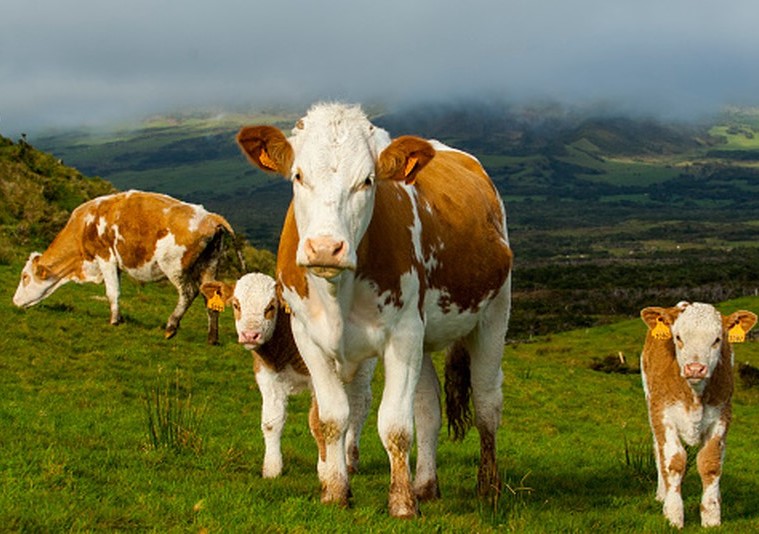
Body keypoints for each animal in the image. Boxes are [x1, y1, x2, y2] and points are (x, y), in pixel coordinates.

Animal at [200, 274, 376, 480]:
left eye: (270, 307)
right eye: (236, 305)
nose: (250, 335)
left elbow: (318, 422)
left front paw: (325, 470)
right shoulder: (267, 376)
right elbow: (271, 421)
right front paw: (272, 469)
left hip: (364, 364)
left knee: (359, 406)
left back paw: (350, 460)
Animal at [235, 103, 512, 520]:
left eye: (367, 180)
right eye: (298, 176)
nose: (325, 248)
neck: (338, 293)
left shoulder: (403, 334)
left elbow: (395, 424)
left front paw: (401, 503)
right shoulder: (307, 337)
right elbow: (332, 419)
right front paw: (336, 492)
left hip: (493, 315)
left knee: (486, 403)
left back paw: (488, 488)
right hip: (426, 337)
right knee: (428, 407)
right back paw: (426, 485)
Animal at [640, 304, 756, 528]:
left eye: (717, 339)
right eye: (678, 337)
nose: (695, 368)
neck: (694, 393)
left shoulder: (721, 417)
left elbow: (711, 463)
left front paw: (711, 516)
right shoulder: (663, 415)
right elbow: (673, 462)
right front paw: (673, 514)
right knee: (658, 450)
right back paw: (661, 494)